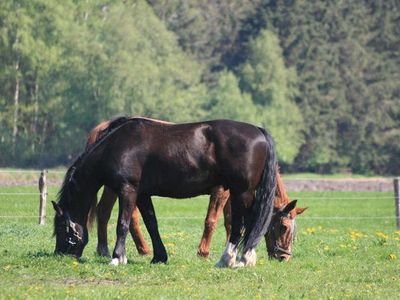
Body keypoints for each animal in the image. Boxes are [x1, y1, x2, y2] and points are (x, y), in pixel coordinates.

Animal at [52, 116, 278, 268]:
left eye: (62, 228)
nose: (59, 254)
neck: (118, 145)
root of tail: (258, 131)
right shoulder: (142, 195)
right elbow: (152, 223)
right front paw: (159, 257)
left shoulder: (128, 190)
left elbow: (122, 224)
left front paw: (117, 257)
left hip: (242, 192)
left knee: (242, 224)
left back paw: (233, 259)